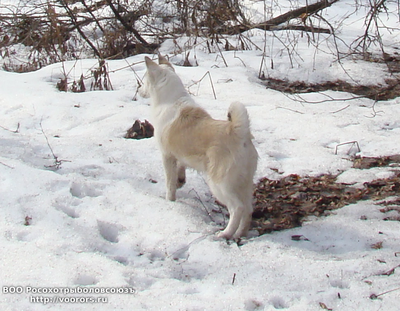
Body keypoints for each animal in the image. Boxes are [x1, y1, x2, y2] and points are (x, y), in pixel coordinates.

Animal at [141, 55, 260, 241]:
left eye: (144, 81)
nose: (139, 90)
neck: (170, 101)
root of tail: (238, 132)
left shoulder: (167, 156)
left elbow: (169, 184)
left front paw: (169, 200)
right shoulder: (180, 156)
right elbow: (181, 169)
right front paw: (180, 181)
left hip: (219, 184)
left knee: (237, 208)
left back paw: (225, 234)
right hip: (244, 184)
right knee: (248, 210)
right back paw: (240, 234)